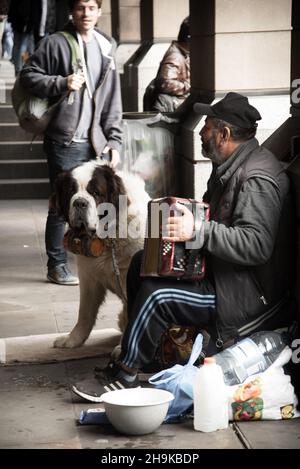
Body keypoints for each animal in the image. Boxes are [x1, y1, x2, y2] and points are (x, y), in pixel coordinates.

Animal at [52, 161, 150, 348]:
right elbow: (85, 312)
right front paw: (72, 339)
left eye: (96, 193)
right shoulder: (88, 276)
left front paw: (123, 348)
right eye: (70, 191)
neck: (108, 239)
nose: (80, 203)